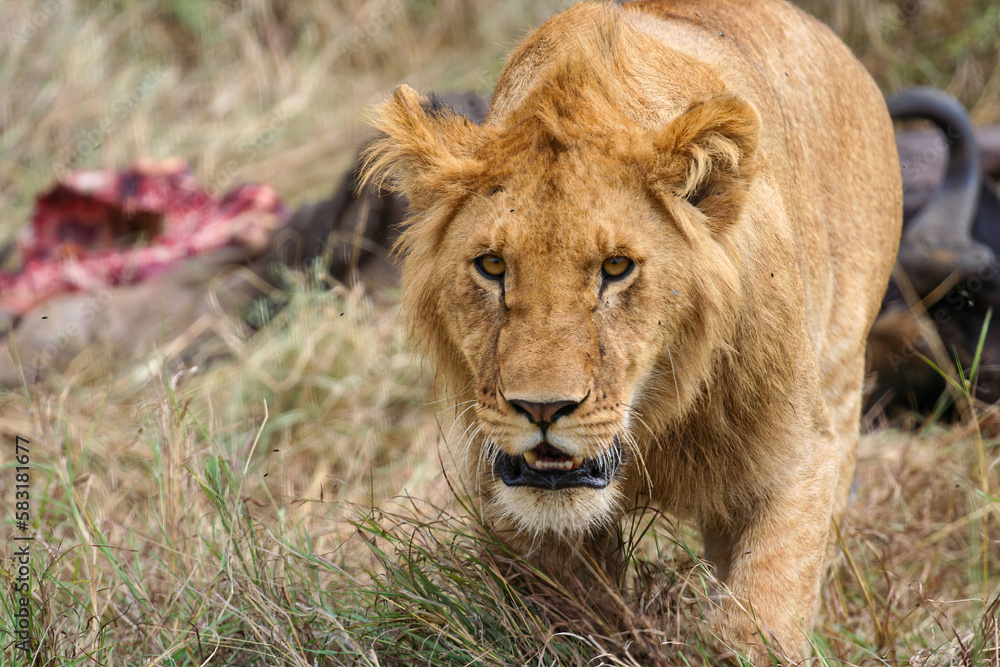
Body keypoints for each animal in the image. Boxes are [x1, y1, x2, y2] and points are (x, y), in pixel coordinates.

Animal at [361, 0, 902, 661]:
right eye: (491, 266)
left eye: (616, 268)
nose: (542, 409)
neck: (653, 417)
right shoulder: (505, 497)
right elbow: (570, 620)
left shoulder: (800, 456)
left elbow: (758, 617)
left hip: (845, 370)